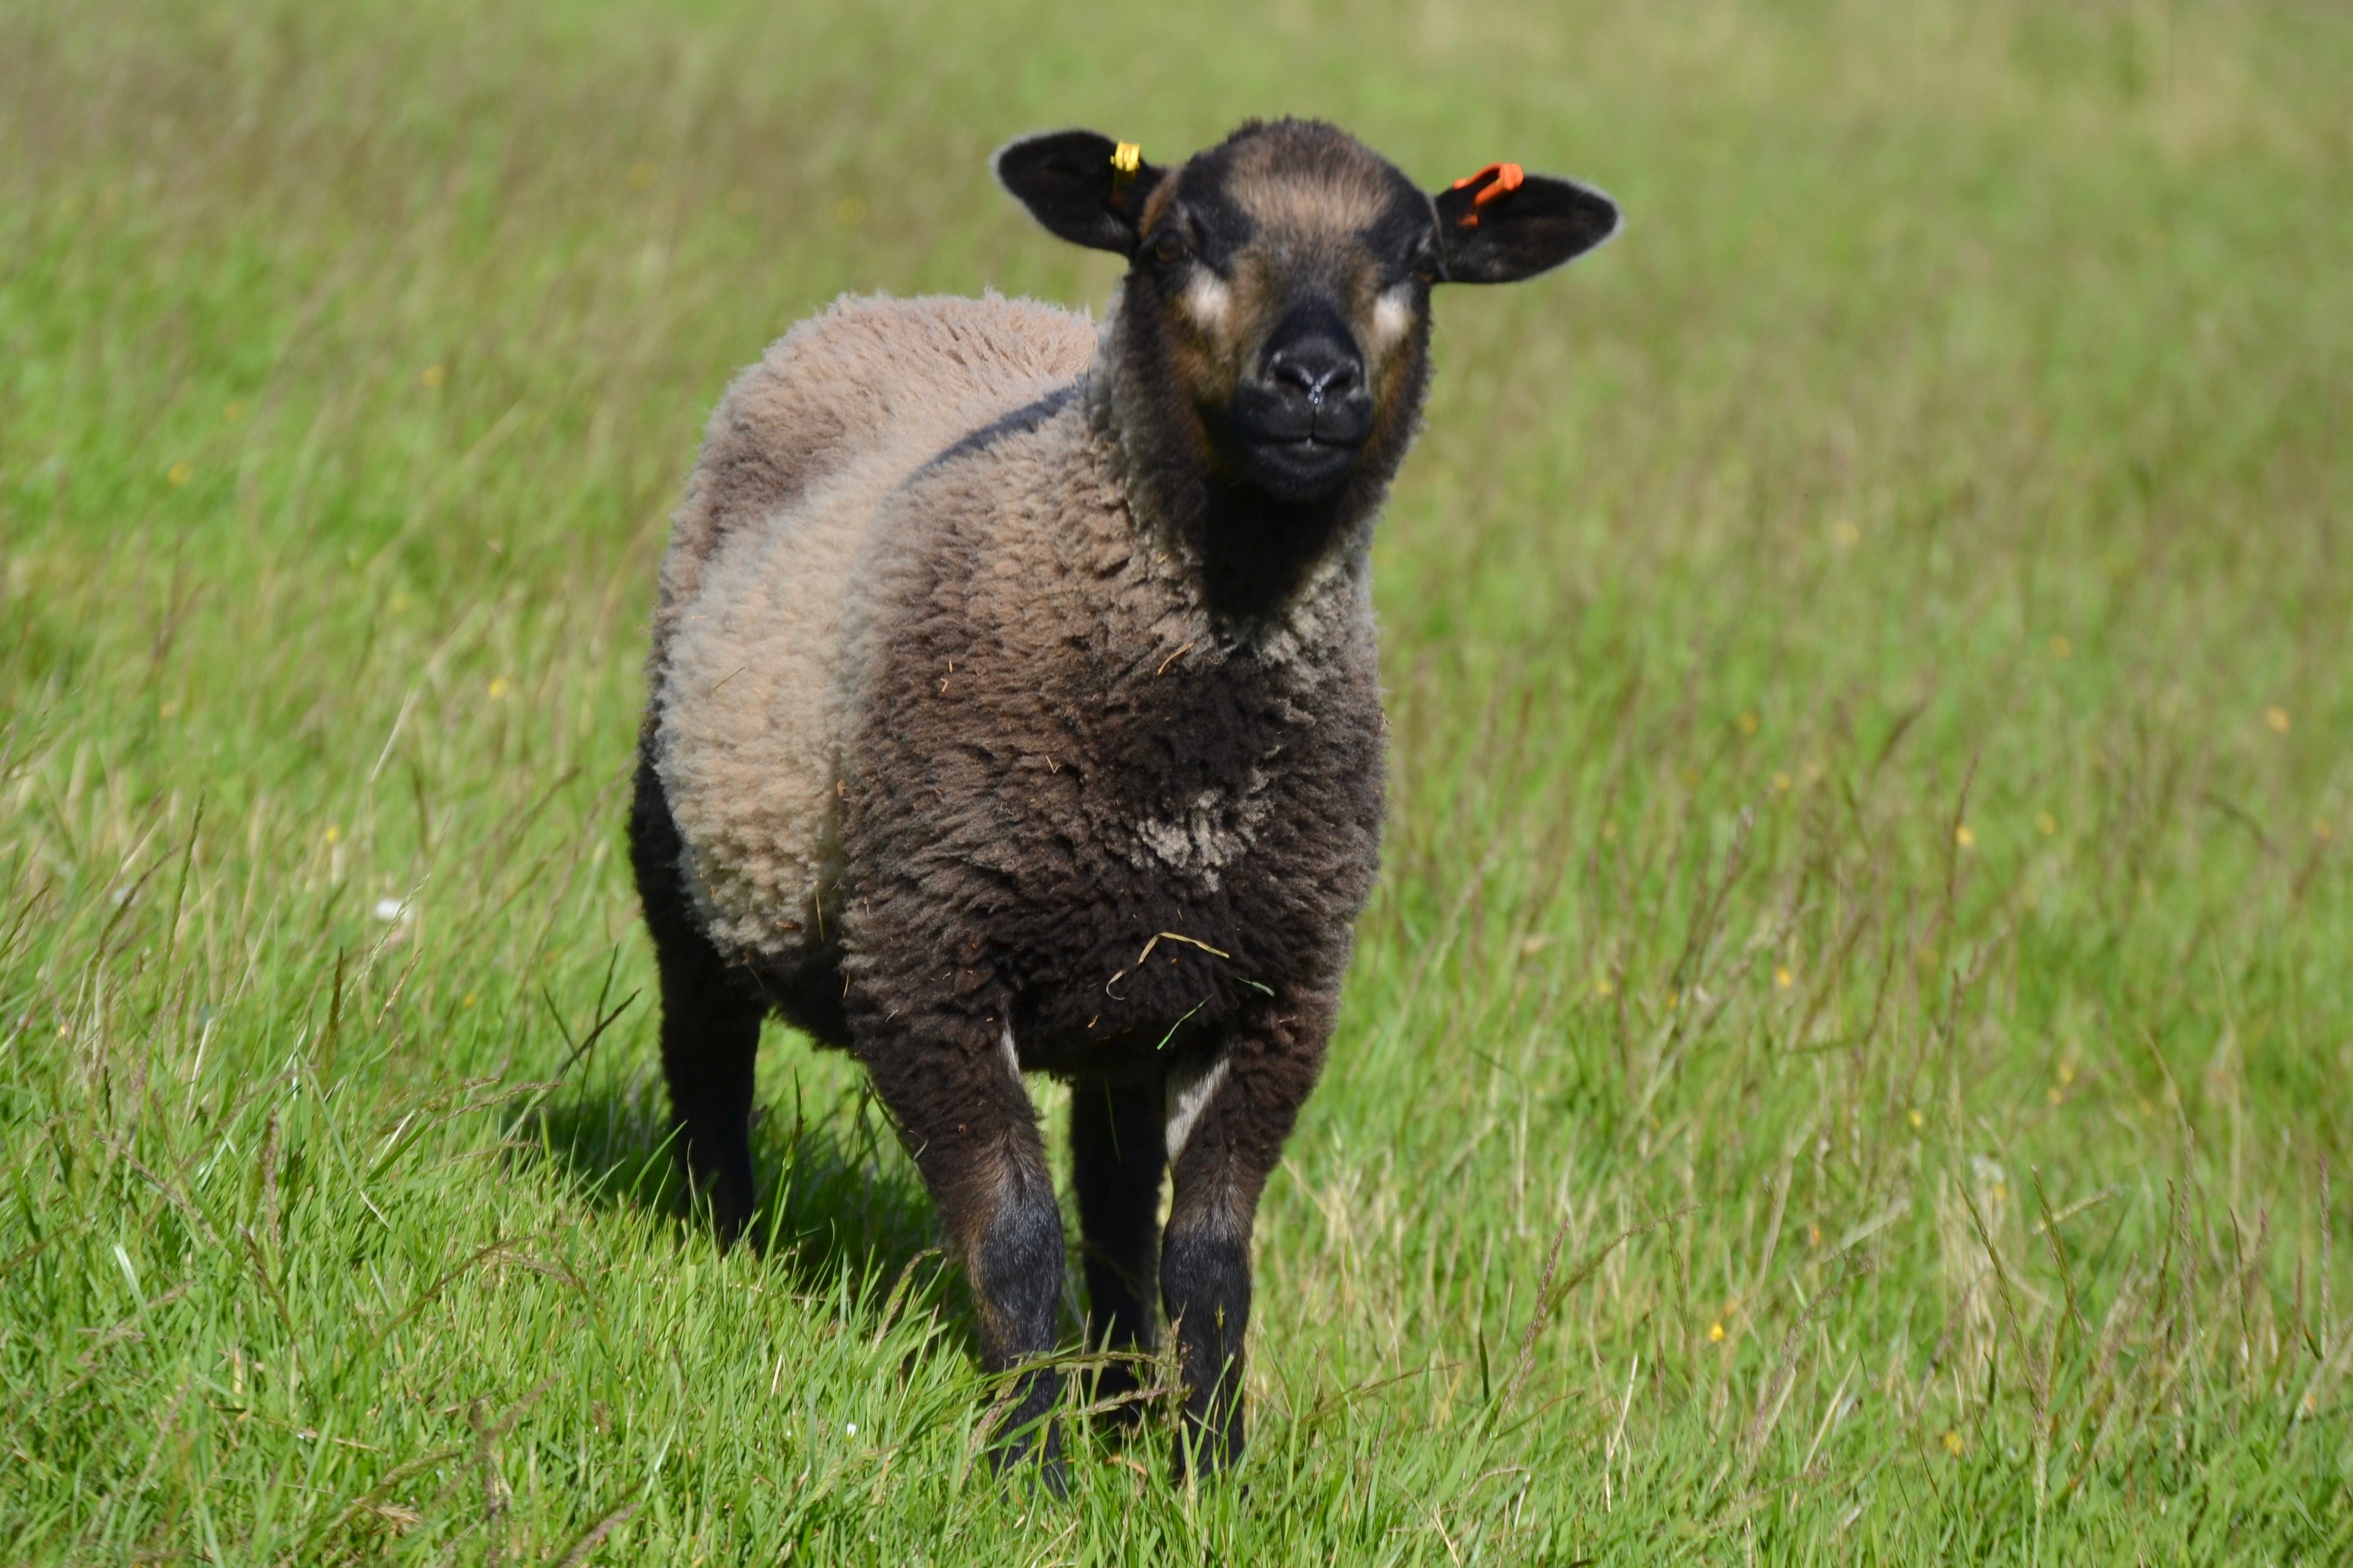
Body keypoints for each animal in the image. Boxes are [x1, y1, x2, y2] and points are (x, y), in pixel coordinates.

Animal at [631, 118, 1619, 1485]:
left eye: (1416, 260)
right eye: (1178, 241)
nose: (1315, 382)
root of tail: (906, 300)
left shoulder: (1277, 994)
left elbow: (1203, 1252)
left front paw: (1206, 1467)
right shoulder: (925, 965)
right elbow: (1014, 1232)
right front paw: (1030, 1467)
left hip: (1129, 996)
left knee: (1114, 1189)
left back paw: (1118, 1388)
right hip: (689, 847)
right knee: (706, 1045)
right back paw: (721, 1234)